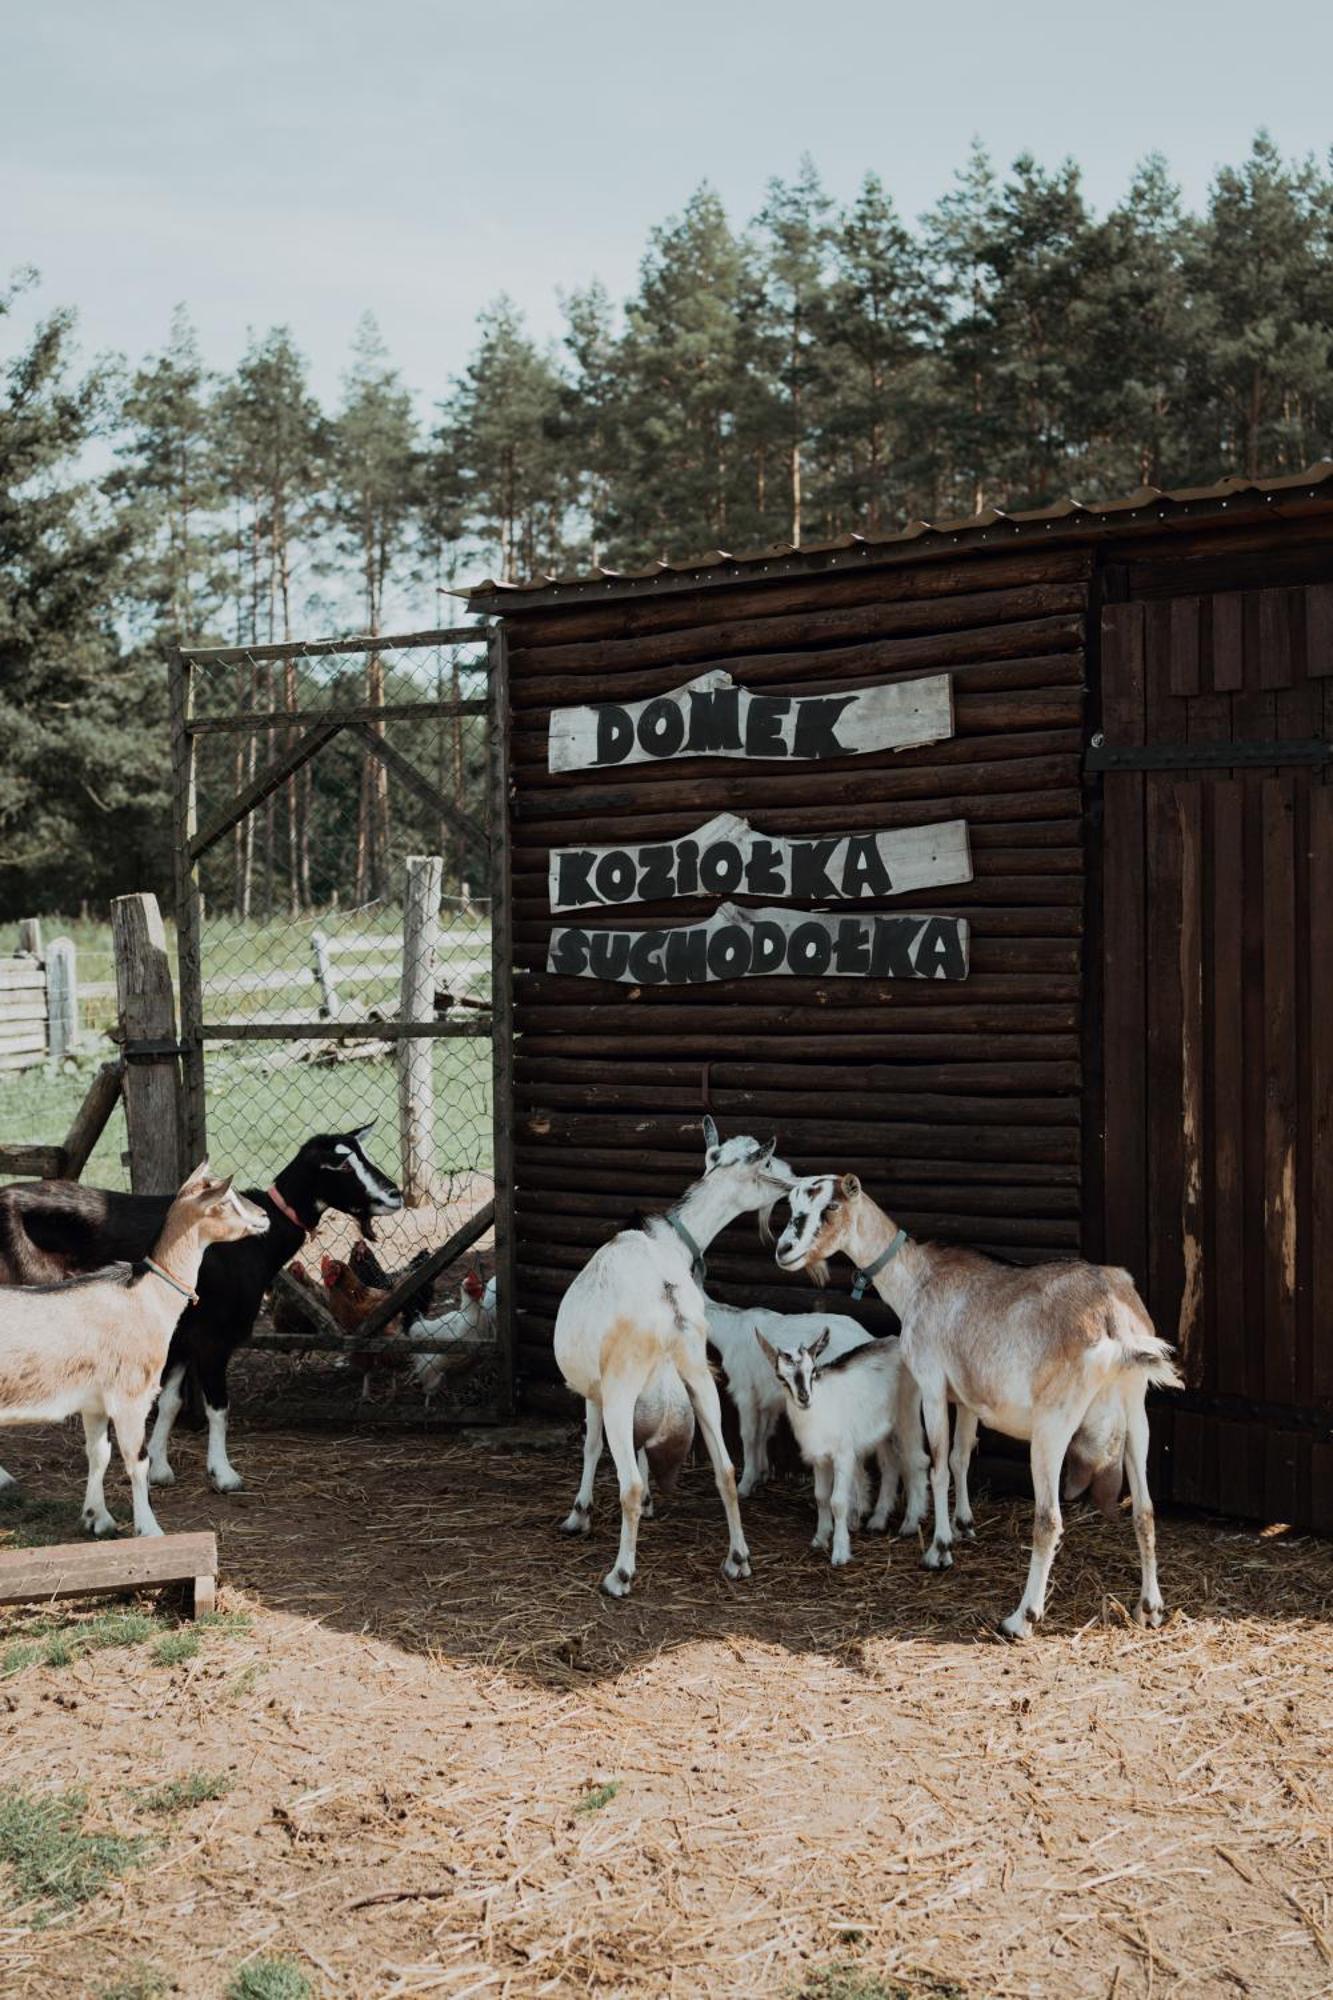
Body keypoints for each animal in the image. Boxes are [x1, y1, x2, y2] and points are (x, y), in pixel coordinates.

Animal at [0, 1168, 268, 1536]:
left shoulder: (94, 1401)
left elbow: (99, 1454)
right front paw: (150, 1529)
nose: (264, 1216)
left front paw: (98, 1518)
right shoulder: (131, 1397)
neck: (146, 1296)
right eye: (225, 1200)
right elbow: (137, 1461)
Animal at [548, 1120, 788, 1600]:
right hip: (698, 1375)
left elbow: (590, 1445)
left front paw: (578, 1516)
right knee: (726, 1467)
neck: (670, 1242)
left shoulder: (594, 1390)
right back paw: (738, 1559)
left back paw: (620, 1575)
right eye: (767, 1160)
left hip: (621, 1389)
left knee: (629, 1483)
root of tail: (668, 1298)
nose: (793, 1183)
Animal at [704, 1296, 924, 1528]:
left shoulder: (745, 1391)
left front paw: (745, 1484)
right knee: (890, 1460)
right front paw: (762, 1473)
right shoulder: (768, 1399)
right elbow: (764, 1432)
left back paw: (863, 1514)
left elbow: (748, 1436)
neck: (731, 1329)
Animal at [752, 1336, 920, 1568]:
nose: (804, 1398)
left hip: (908, 1417)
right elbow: (821, 1497)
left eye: (813, 1370)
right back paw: (878, 1520)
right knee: (890, 1465)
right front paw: (820, 1538)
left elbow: (838, 1502)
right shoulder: (819, 1458)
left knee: (916, 1463)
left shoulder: (843, 1455)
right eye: (781, 1377)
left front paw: (840, 1552)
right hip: (882, 1428)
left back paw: (910, 1523)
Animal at [772, 1168, 1176, 1640]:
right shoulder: (967, 1397)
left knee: (1048, 1518)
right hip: (1136, 1410)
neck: (918, 1280)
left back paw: (1022, 1618)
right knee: (1145, 1509)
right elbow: (962, 1456)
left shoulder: (931, 1385)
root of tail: (1113, 1317)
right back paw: (1150, 1608)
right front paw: (964, 1526)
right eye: (792, 1204)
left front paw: (939, 1549)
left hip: (1054, 1423)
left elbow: (937, 1465)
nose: (784, 1250)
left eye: (830, 1205)